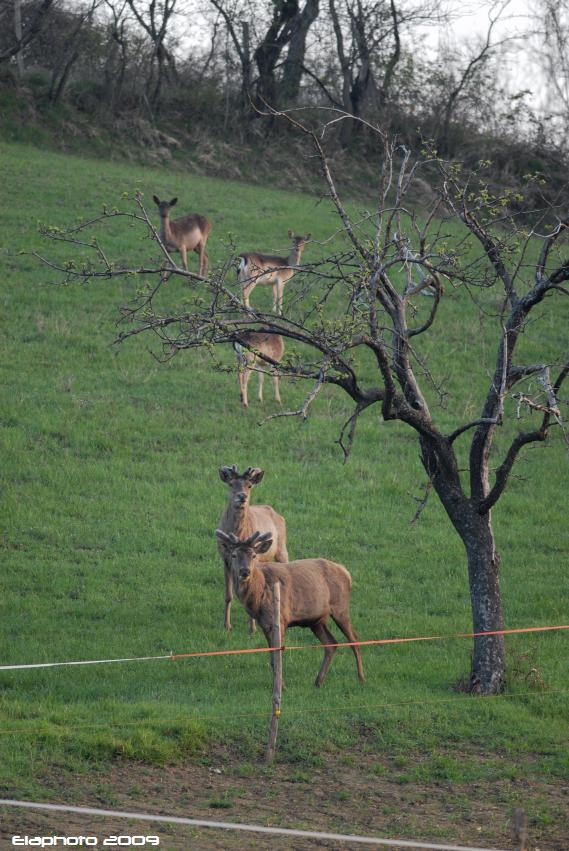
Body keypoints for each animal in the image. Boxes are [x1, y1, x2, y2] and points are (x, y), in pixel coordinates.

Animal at [213, 528, 364, 688]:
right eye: (234, 555)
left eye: (253, 555)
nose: (245, 571)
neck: (259, 594)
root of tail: (346, 573)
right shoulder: (264, 624)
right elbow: (272, 658)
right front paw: (280, 686)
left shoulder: (281, 618)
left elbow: (278, 656)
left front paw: (281, 687)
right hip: (316, 620)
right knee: (331, 643)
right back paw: (318, 681)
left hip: (341, 608)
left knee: (354, 639)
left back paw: (361, 677)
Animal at [217, 466, 288, 632]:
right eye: (231, 484)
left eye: (249, 486)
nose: (242, 496)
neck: (239, 533)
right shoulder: (225, 558)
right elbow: (228, 595)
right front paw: (227, 625)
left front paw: (253, 628)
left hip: (282, 548)